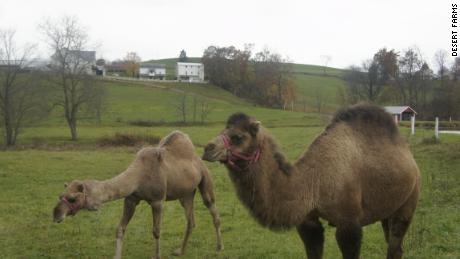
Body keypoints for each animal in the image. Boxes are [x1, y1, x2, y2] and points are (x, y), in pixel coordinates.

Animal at [53, 132, 224, 259]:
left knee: (212, 209)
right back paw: (180, 251)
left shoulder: (157, 200)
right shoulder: (131, 199)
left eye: (72, 199)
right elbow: (120, 228)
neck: (139, 175)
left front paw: (157, 256)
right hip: (186, 193)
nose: (56, 215)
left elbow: (156, 231)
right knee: (190, 220)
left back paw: (219, 247)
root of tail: (198, 159)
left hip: (205, 179)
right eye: (60, 195)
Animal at [203, 104, 418, 259]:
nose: (207, 148)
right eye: (224, 130)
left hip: (409, 200)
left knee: (395, 245)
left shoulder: (349, 223)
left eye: (238, 137)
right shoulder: (308, 222)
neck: (313, 182)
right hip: (387, 210)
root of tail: (408, 155)